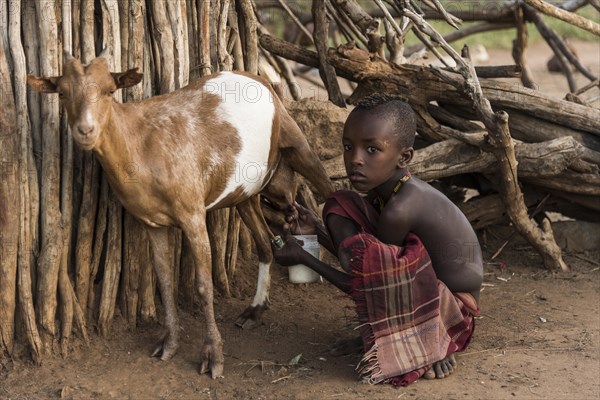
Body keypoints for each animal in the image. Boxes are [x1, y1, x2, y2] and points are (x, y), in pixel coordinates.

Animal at [28, 50, 336, 378]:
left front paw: (213, 357)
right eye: (62, 93)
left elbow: (203, 285)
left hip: (296, 143)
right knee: (265, 243)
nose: (85, 131)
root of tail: (261, 79)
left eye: (110, 90)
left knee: (328, 190)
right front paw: (169, 344)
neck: (140, 143)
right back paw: (255, 310)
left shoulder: (192, 213)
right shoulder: (151, 222)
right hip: (244, 191)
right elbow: (163, 281)